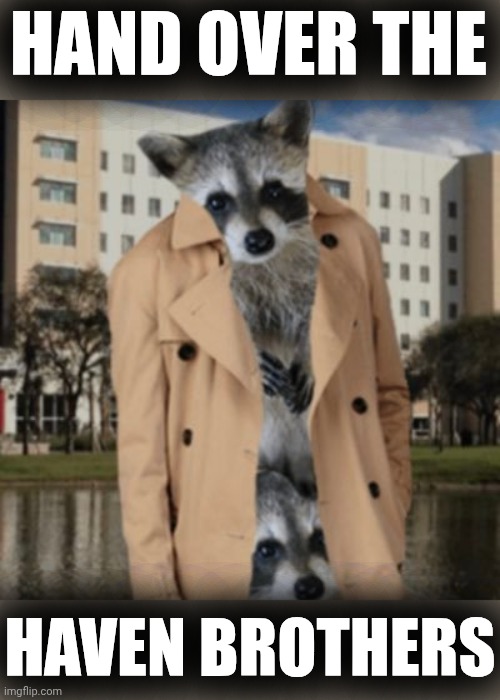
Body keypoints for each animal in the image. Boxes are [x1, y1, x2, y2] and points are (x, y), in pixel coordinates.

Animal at [139, 101, 318, 496]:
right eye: (217, 202)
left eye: (274, 190)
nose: (259, 240)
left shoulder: (306, 266)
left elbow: (314, 311)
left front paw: (308, 349)